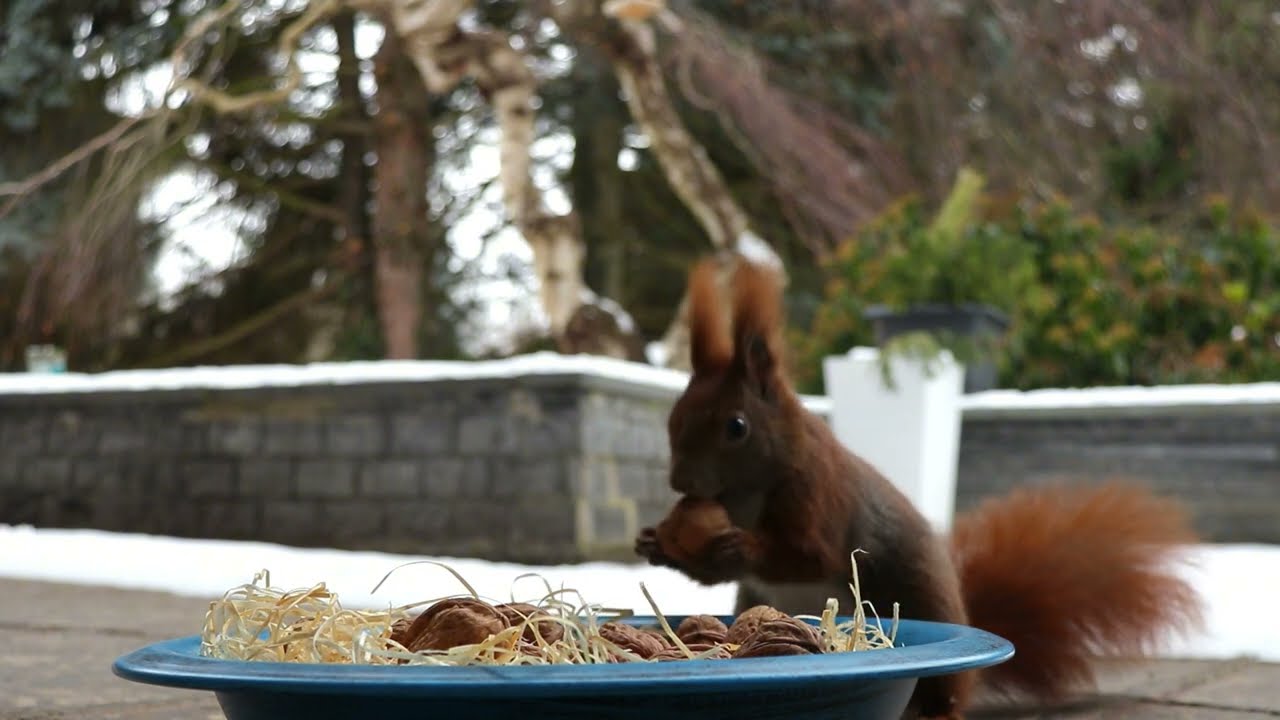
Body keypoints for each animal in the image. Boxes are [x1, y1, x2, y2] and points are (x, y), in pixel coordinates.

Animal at [635, 256, 1204, 719]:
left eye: (736, 427)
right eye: (673, 416)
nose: (679, 481)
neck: (745, 495)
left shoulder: (819, 495)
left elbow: (810, 555)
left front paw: (736, 546)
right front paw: (655, 543)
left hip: (922, 604)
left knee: (943, 694)